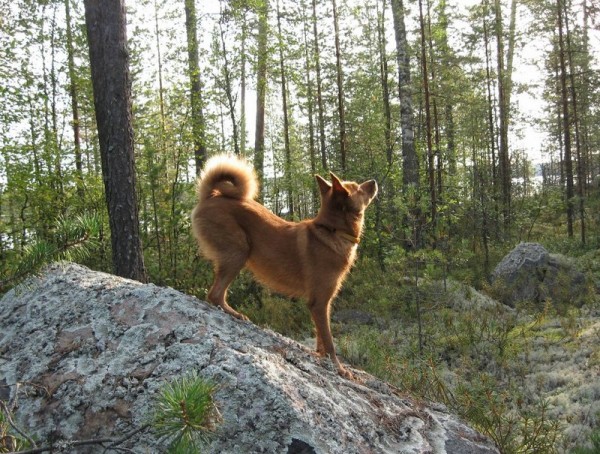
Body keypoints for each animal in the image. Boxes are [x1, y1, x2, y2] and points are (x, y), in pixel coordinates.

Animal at [192, 154, 378, 378]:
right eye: (358, 188)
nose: (374, 181)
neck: (332, 231)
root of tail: (212, 196)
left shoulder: (321, 304)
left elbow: (320, 338)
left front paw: (322, 358)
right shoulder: (319, 302)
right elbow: (329, 340)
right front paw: (339, 368)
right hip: (238, 253)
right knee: (215, 294)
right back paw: (235, 313)